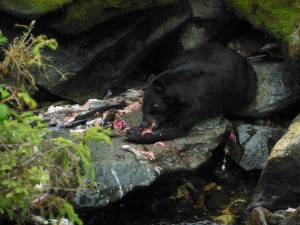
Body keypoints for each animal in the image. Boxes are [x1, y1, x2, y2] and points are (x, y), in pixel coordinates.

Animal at [125, 43, 256, 143]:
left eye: (152, 110)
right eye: (143, 110)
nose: (143, 125)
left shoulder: (192, 106)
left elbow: (177, 127)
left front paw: (133, 133)